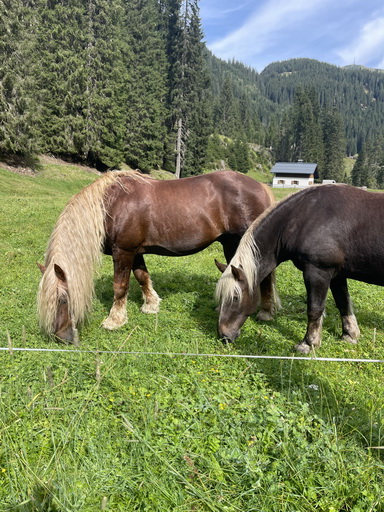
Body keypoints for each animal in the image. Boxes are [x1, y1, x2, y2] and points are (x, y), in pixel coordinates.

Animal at [38, 170, 276, 342]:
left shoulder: (123, 251)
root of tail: (261, 187)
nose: (61, 338)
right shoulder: (135, 252)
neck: (110, 205)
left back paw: (266, 312)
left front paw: (114, 320)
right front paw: (151, 305)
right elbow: (142, 277)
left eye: (62, 299)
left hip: (241, 242)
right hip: (229, 243)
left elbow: (120, 286)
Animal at [214, 185, 384, 356]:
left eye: (236, 297)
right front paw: (350, 335)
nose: (224, 335)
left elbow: (315, 309)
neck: (302, 215)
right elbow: (343, 302)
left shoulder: (318, 272)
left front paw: (308, 343)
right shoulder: (337, 274)